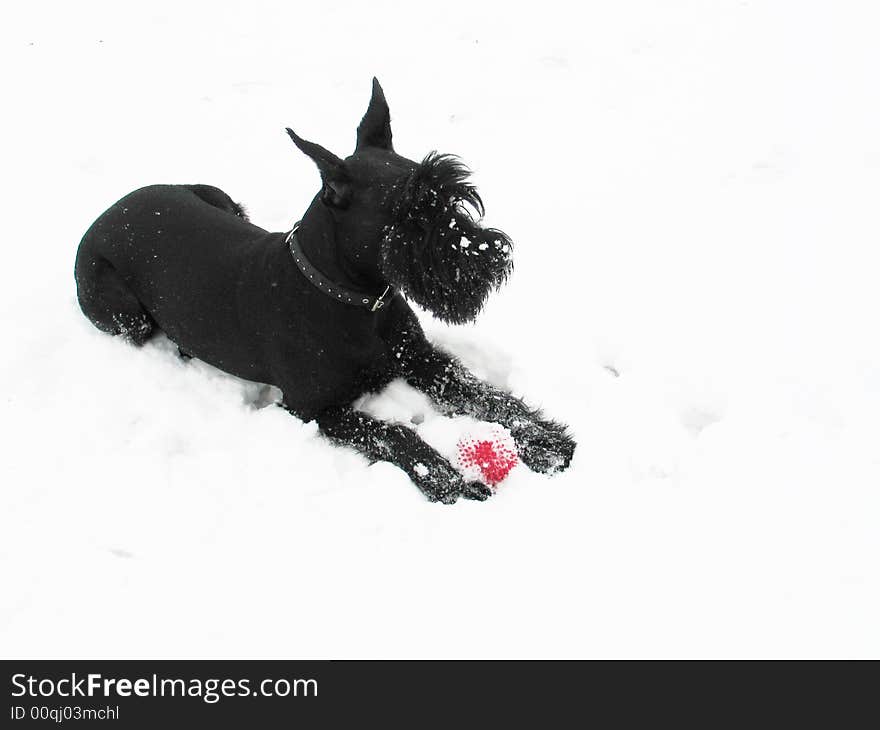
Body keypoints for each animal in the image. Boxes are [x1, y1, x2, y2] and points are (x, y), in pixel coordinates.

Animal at [74, 78, 572, 500]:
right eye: (410, 216)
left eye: (452, 196)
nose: (491, 255)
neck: (358, 300)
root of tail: (109, 211)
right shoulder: (315, 408)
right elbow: (394, 431)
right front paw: (447, 480)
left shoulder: (420, 357)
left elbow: (477, 391)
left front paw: (545, 441)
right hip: (126, 315)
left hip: (220, 197)